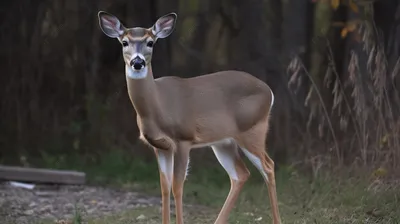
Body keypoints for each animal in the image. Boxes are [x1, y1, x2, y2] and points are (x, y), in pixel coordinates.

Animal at [97, 10, 282, 224]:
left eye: (150, 42)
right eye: (124, 42)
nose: (137, 62)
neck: (158, 105)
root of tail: (269, 91)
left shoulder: (183, 139)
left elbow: (177, 187)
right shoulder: (160, 146)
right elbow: (164, 187)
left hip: (252, 130)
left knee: (268, 166)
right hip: (223, 142)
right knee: (241, 174)